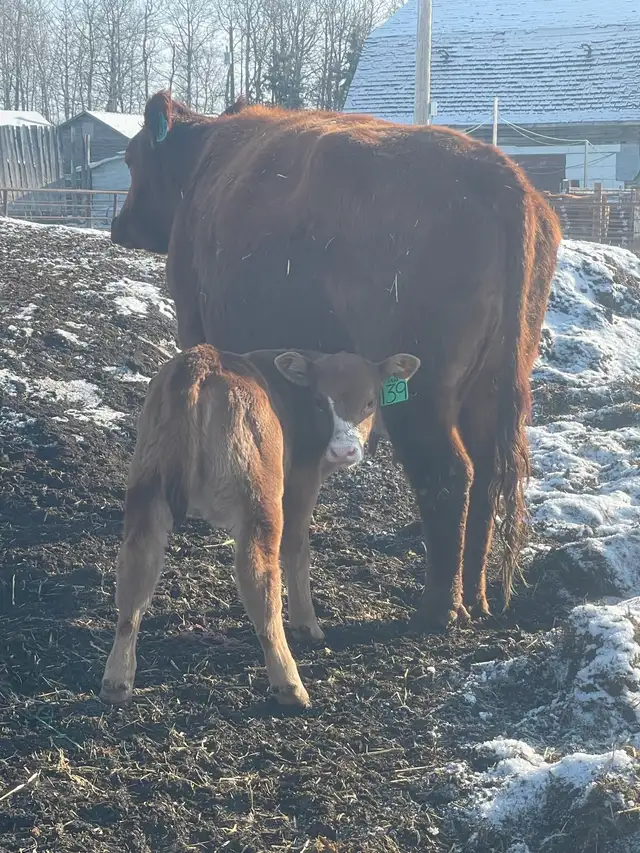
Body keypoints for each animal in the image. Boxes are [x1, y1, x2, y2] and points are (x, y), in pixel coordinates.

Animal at [100, 344, 420, 708]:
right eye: (320, 401)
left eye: (370, 401)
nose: (343, 451)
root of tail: (204, 358)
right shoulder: (302, 483)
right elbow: (297, 549)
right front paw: (307, 625)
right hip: (260, 499)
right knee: (259, 578)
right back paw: (289, 683)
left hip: (147, 487)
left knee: (135, 573)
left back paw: (117, 680)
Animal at [111, 92, 562, 632]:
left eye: (131, 158)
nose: (118, 224)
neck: (205, 161)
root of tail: (503, 178)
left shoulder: (198, 327)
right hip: (489, 391)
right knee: (487, 476)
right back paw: (474, 596)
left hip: (423, 400)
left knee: (451, 475)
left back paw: (439, 607)